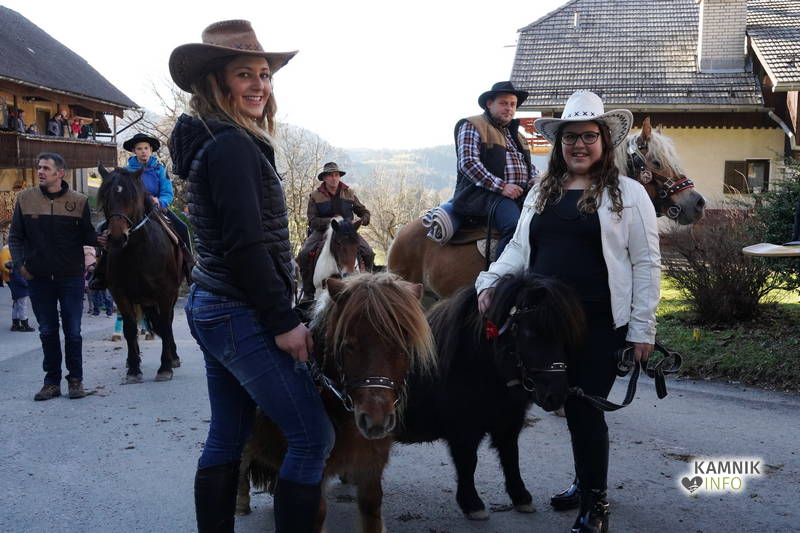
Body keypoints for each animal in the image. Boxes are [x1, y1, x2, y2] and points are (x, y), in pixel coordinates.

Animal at [97, 165, 183, 383]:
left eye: (132, 197)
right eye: (106, 197)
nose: (117, 238)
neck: (136, 252)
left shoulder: (165, 293)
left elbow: (165, 325)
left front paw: (165, 367)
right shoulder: (121, 294)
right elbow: (129, 328)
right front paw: (134, 369)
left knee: (167, 323)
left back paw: (173, 357)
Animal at [236, 273, 436, 533]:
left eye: (404, 346)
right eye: (347, 345)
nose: (376, 420)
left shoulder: (372, 468)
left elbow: (371, 511)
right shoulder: (313, 476)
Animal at [395, 271, 586, 520]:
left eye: (564, 335)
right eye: (530, 334)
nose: (557, 395)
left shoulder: (508, 423)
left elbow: (511, 457)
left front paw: (521, 497)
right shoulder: (464, 430)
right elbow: (468, 462)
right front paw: (472, 504)